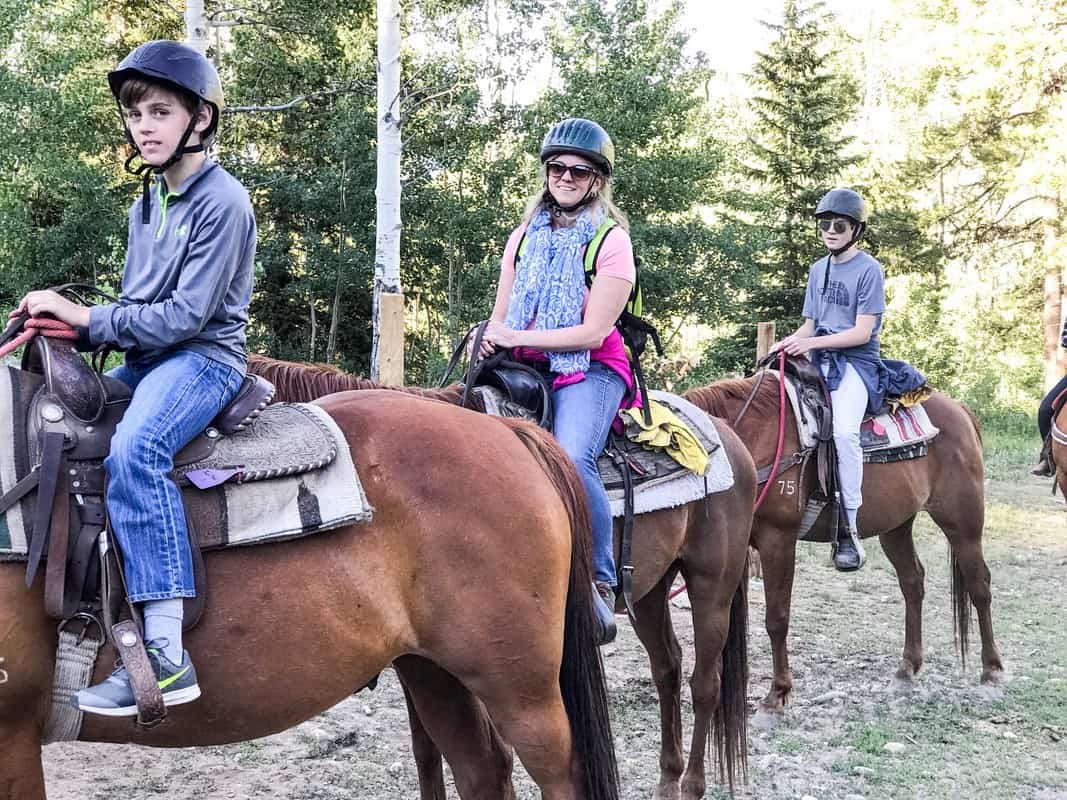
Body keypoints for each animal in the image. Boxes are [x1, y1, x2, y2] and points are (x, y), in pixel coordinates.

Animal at [246, 356, 755, 800]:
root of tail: (728, 436)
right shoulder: (418, 654)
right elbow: (426, 752)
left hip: (712, 583)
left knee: (705, 683)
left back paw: (692, 785)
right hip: (649, 592)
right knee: (667, 668)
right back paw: (668, 781)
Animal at [687, 373, 1002, 725]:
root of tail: (960, 411)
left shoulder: (777, 539)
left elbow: (776, 619)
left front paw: (775, 697)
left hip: (963, 523)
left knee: (979, 586)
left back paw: (991, 672)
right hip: (896, 526)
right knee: (913, 582)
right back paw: (907, 670)